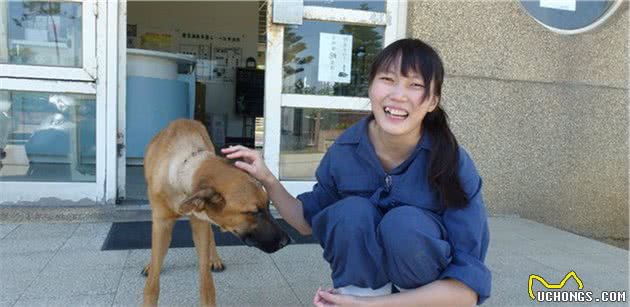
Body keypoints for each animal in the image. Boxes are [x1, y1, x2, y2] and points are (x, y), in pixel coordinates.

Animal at [142, 119, 290, 307]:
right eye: (254, 212)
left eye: (268, 205)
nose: (286, 241)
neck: (184, 168)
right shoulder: (162, 222)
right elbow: (152, 282)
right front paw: (153, 270)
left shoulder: (200, 221)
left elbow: (206, 282)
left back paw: (214, 259)